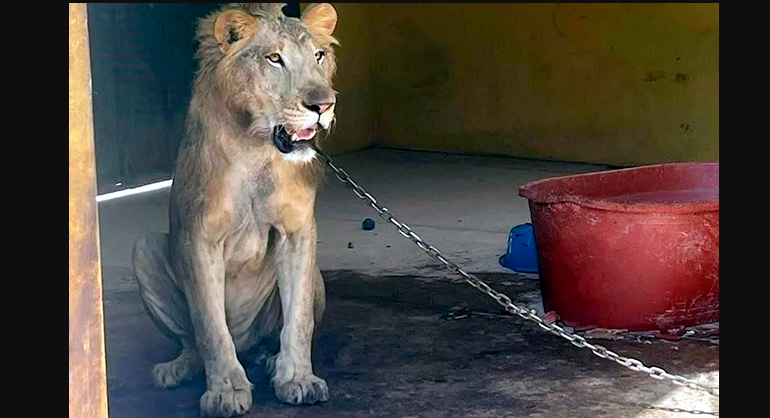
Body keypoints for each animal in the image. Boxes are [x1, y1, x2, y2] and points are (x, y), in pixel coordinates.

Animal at [131, 3, 339, 417]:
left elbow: (299, 320)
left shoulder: (298, 231)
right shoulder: (200, 238)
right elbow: (210, 327)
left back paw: (270, 360)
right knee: (194, 342)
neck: (257, 148)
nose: (323, 106)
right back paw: (176, 369)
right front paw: (226, 391)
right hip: (143, 248)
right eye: (274, 58)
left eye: (319, 56)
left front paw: (297, 379)